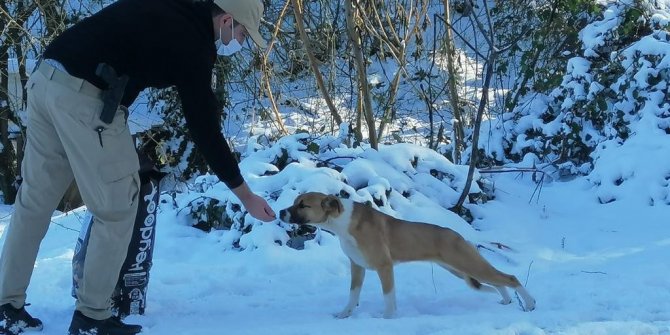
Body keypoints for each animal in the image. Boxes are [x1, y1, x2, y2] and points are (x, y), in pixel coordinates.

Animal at [280, 193, 540, 318]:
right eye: (295, 202)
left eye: (303, 205)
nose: (281, 212)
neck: (342, 222)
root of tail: (458, 235)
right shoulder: (357, 267)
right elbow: (352, 296)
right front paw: (344, 315)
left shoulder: (384, 267)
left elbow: (388, 297)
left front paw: (387, 318)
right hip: (460, 269)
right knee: (498, 282)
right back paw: (506, 301)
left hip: (467, 264)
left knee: (510, 278)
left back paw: (529, 304)